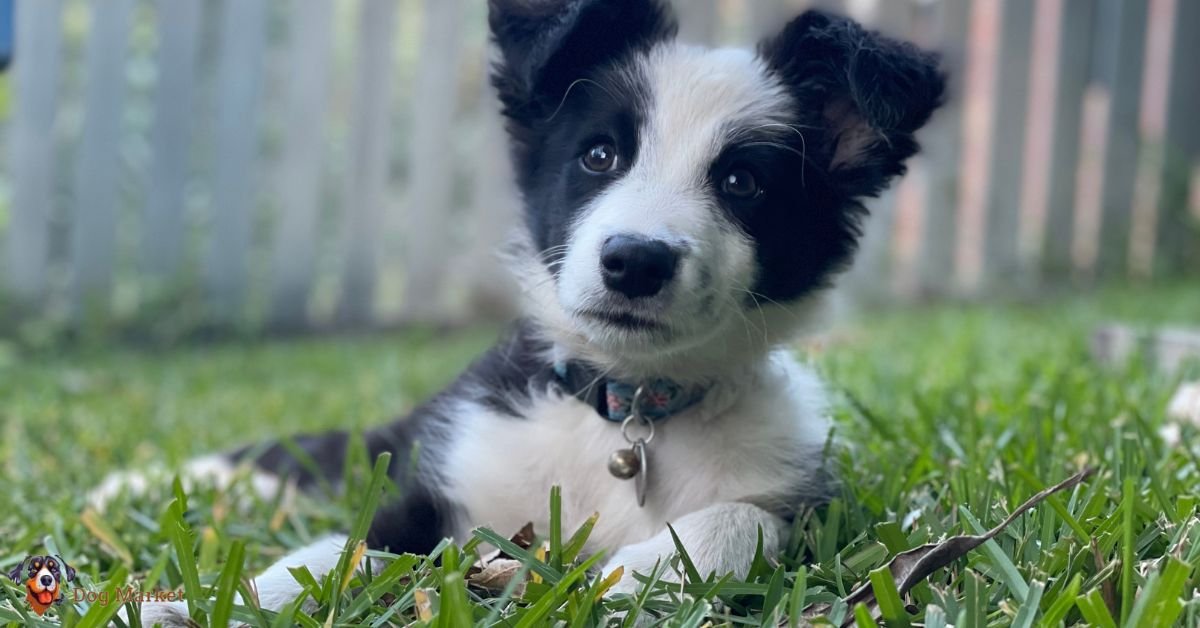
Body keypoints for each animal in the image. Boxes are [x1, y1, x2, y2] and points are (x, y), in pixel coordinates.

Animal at [124, 0, 945, 619]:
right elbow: (347, 548)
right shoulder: (447, 482)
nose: (635, 261)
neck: (625, 413)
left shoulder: (815, 508)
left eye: (743, 183)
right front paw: (205, 605)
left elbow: (746, 518)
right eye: (599, 156)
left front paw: (637, 570)